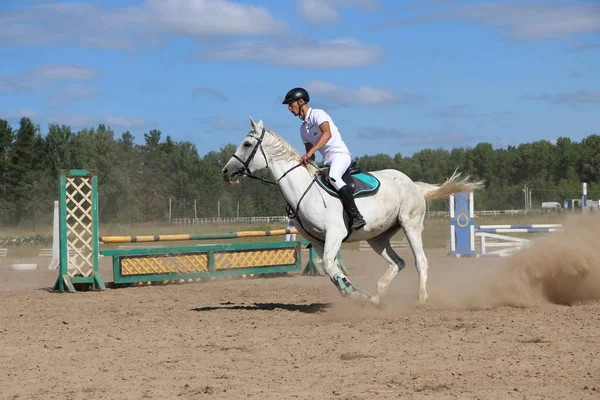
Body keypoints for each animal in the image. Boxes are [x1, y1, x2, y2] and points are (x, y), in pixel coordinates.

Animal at [223, 117, 486, 304]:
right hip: (377, 237)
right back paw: (377, 297)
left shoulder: (335, 234)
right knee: (397, 263)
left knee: (420, 261)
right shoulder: (317, 240)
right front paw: (353, 291)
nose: (226, 171)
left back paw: (421, 299)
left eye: (247, 144)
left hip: (410, 224)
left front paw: (353, 293)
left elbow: (332, 266)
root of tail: (414, 185)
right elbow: (331, 269)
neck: (304, 190)